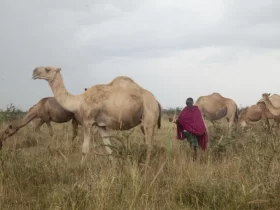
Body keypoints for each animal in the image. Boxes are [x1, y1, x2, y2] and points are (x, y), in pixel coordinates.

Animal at [32, 66, 162, 167]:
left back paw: (145, 168)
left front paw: (80, 168)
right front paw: (114, 167)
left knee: (149, 146)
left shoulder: (88, 122)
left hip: (149, 117)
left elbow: (85, 149)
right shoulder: (100, 125)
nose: (34, 72)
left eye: (47, 69)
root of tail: (156, 101)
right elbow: (109, 148)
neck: (79, 101)